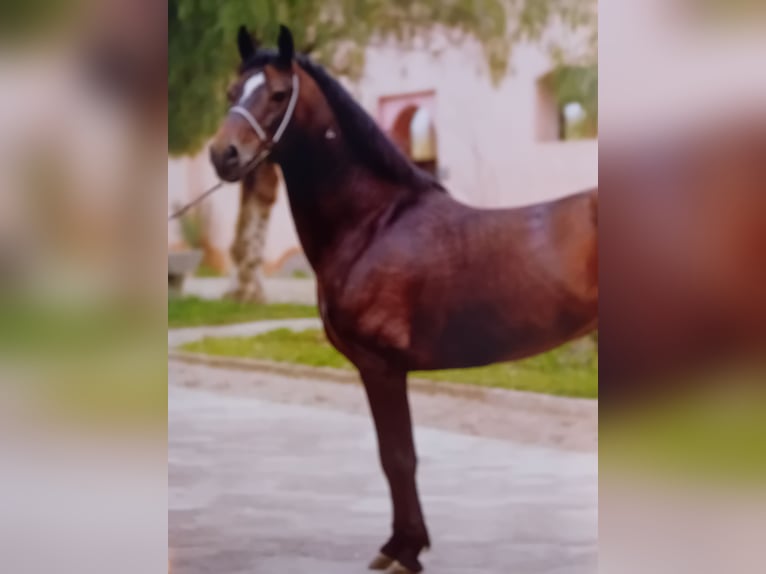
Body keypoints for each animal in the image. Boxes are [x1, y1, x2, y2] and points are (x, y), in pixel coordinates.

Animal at [210, 24, 600, 574]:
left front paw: (404, 550)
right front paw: (401, 544)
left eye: (280, 94)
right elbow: (393, 456)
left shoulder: (382, 366)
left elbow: (398, 458)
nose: (223, 155)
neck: (373, 223)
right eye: (231, 92)